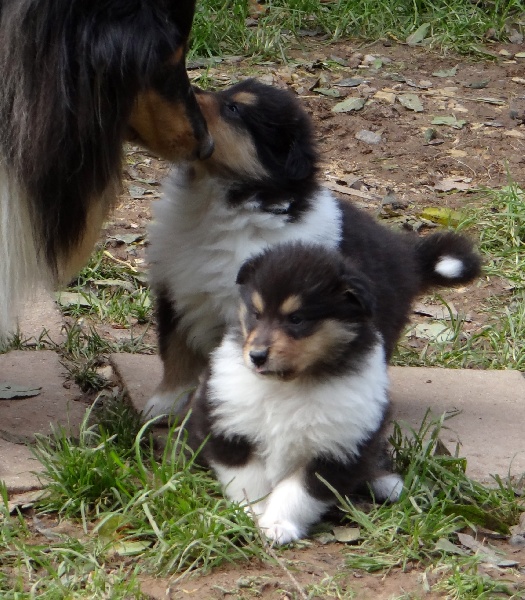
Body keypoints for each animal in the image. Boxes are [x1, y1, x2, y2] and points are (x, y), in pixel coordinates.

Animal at [145, 77, 482, 420]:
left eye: (234, 108)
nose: (188, 90)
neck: (219, 200)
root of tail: (409, 255)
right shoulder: (178, 287)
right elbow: (175, 350)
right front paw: (163, 405)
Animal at [188, 243, 406, 544]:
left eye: (297, 319)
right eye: (256, 313)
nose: (256, 356)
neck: (288, 386)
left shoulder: (336, 448)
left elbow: (299, 492)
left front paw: (278, 525)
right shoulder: (228, 424)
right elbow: (248, 479)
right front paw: (251, 514)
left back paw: (387, 482)